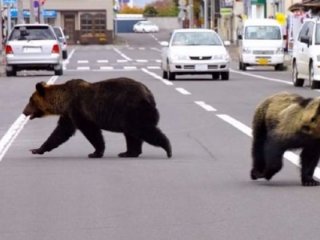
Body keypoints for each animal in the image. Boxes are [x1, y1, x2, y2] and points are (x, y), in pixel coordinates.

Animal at [22, 78, 172, 158]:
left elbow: (91, 131)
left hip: (132, 110)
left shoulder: (78, 109)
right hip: (130, 115)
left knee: (142, 129)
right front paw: (37, 149)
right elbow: (60, 132)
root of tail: (149, 95)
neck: (63, 101)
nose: (24, 112)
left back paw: (167, 148)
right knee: (132, 134)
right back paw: (128, 152)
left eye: (31, 101)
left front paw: (95, 152)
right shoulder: (69, 114)